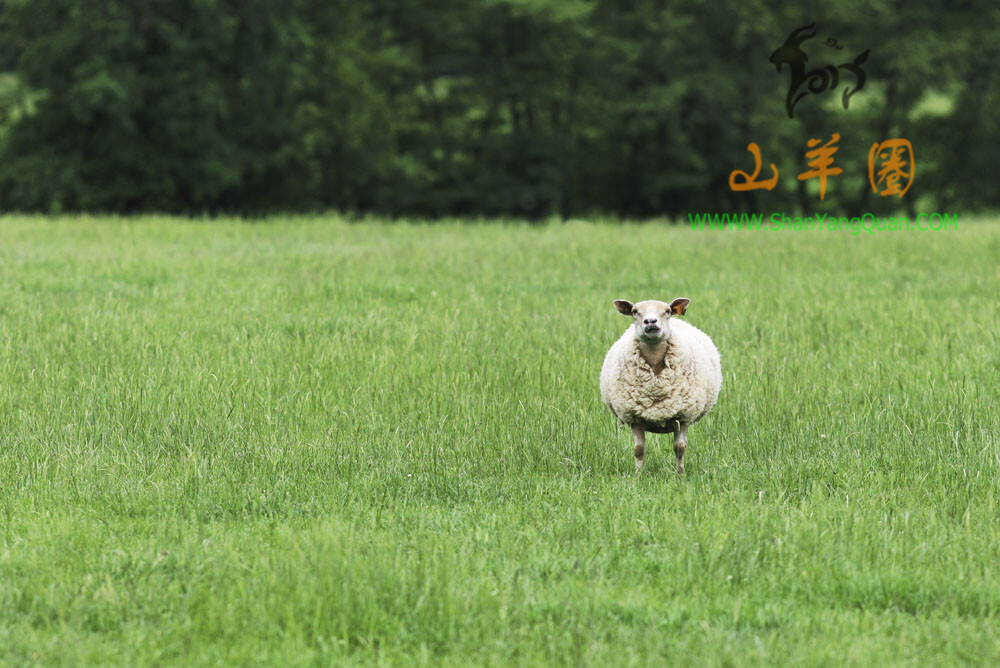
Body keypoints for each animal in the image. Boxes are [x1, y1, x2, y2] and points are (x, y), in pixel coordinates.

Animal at [600, 298, 720, 474]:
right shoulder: (635, 417)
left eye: (667, 311)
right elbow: (639, 450)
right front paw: (638, 475)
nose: (650, 321)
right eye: (635, 311)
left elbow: (680, 448)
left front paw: (680, 475)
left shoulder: (683, 416)